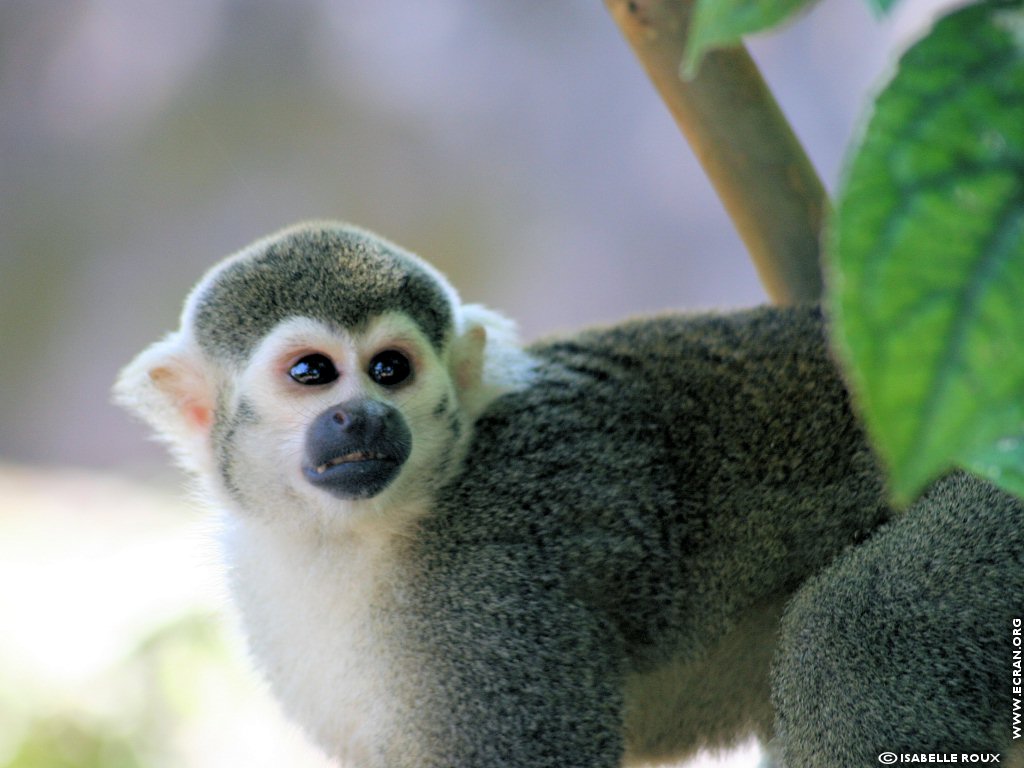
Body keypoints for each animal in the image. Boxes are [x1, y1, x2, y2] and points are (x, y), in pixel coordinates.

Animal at [116, 224, 1019, 768]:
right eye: (311, 373)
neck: (359, 534)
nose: (361, 415)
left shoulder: (489, 589)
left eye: (390, 369)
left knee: (863, 634)